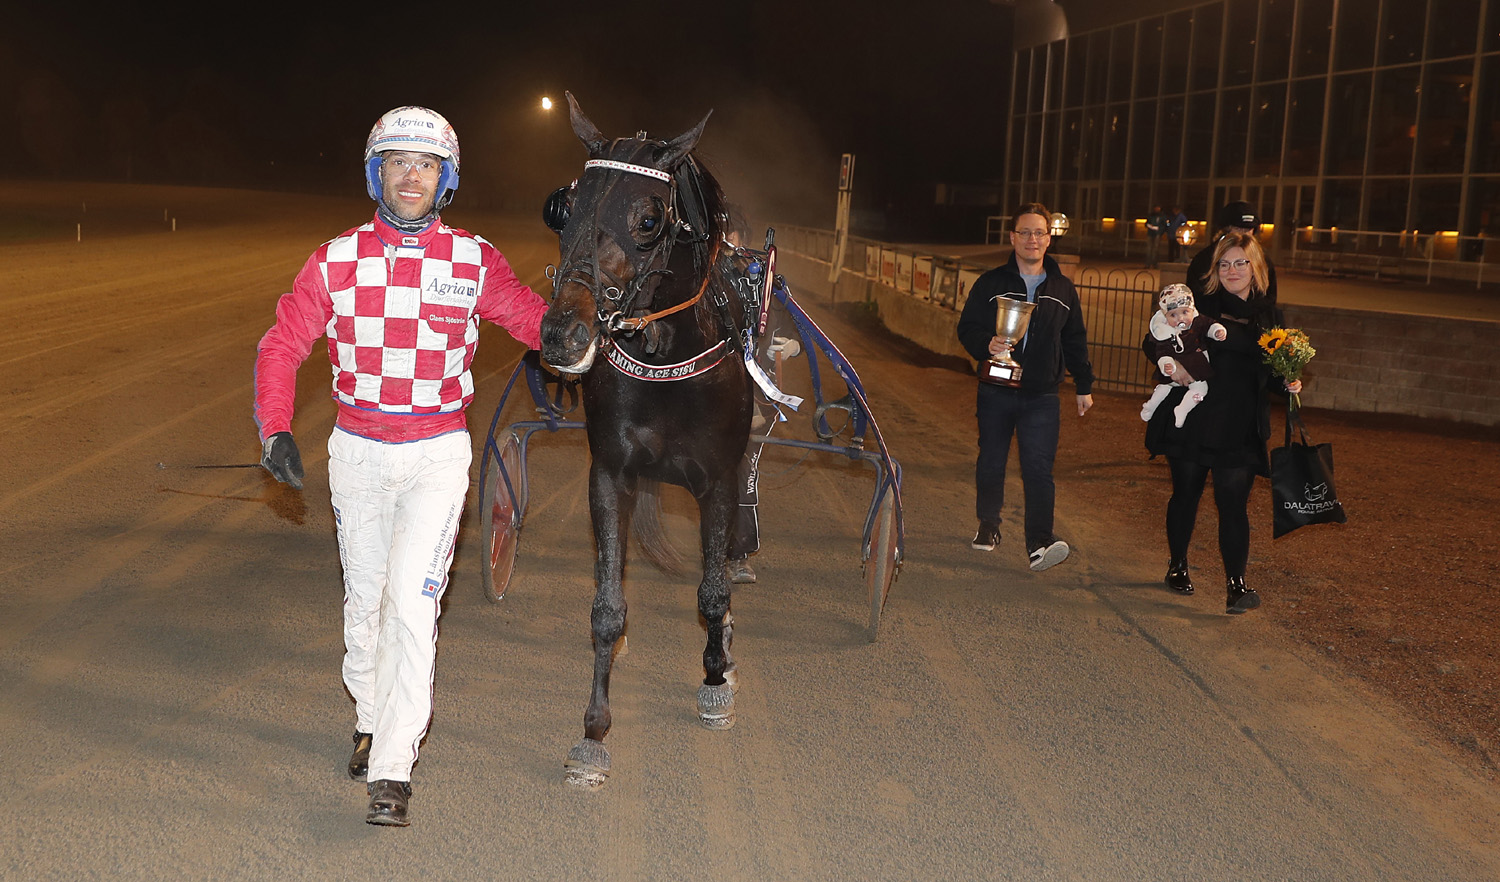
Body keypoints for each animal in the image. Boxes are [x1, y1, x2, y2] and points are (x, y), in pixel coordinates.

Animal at [539, 93, 755, 788]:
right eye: (565, 206)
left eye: (649, 218)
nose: (563, 333)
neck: (666, 358)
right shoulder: (611, 474)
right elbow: (607, 607)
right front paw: (593, 732)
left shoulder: (719, 480)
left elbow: (712, 591)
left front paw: (715, 681)